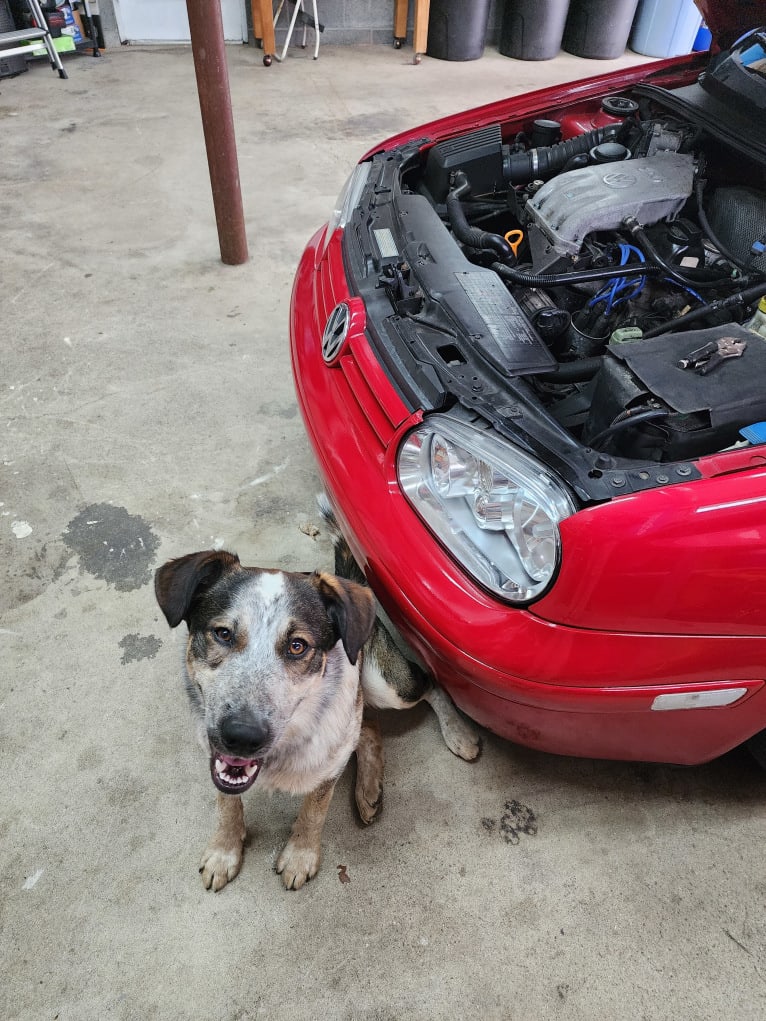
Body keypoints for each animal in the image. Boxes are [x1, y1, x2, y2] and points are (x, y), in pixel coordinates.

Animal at [154, 502, 480, 894]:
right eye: (222, 633)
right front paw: (224, 851)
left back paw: (458, 734)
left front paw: (300, 855)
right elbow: (226, 803)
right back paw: (368, 789)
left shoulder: (329, 757)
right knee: (370, 724)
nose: (242, 736)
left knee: (427, 682)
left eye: (298, 646)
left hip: (385, 683)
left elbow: (314, 809)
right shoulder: (213, 747)